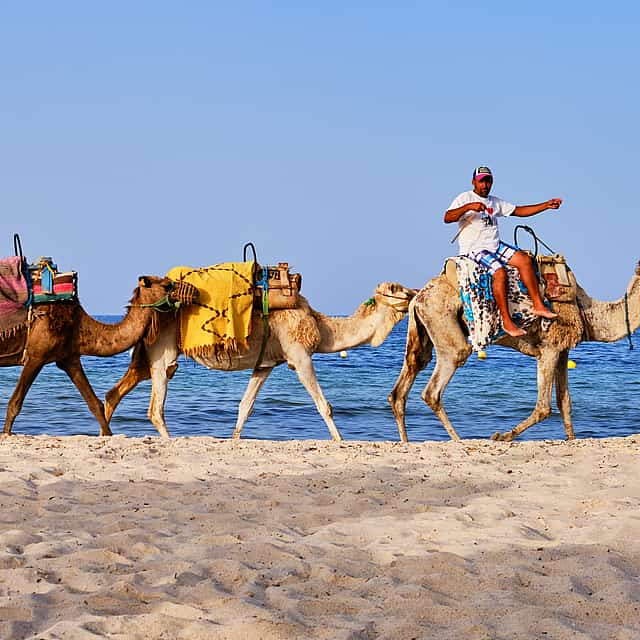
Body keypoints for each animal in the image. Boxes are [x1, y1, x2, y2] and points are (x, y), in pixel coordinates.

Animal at [0, 276, 188, 437]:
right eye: (167, 285)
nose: (188, 293)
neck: (78, 324)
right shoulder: (36, 356)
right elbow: (15, 403)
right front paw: (6, 434)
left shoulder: (69, 358)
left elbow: (94, 403)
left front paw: (108, 436)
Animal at [104, 282, 415, 440]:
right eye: (396, 288)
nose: (414, 293)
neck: (321, 326)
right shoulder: (299, 355)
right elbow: (323, 405)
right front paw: (340, 441)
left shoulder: (265, 363)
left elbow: (245, 406)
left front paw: (234, 440)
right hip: (163, 353)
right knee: (155, 408)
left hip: (147, 356)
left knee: (116, 392)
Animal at [389, 260, 640, 442]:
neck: (588, 311)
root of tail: (418, 297)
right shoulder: (548, 349)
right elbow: (544, 407)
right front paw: (502, 436)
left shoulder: (562, 350)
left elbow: (565, 402)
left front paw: (572, 440)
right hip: (444, 323)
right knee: (436, 385)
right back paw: (459, 440)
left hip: (422, 329)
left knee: (405, 381)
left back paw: (406, 442)